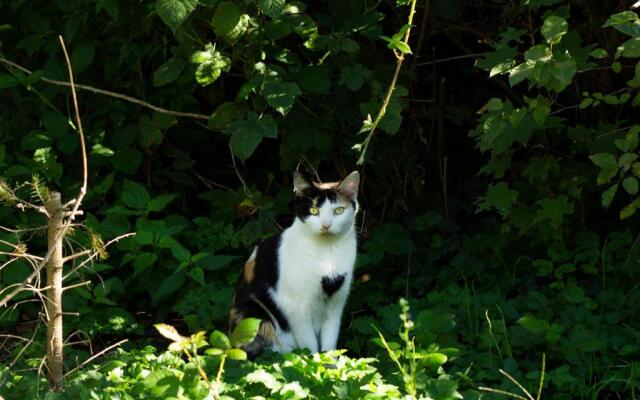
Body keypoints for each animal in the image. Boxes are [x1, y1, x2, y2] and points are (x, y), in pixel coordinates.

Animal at [229, 170, 360, 358]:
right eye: (314, 210)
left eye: (339, 210)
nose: (326, 225)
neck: (328, 252)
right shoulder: (296, 308)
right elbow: (310, 345)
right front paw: (312, 364)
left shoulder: (336, 304)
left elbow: (330, 343)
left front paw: (331, 364)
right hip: (252, 311)